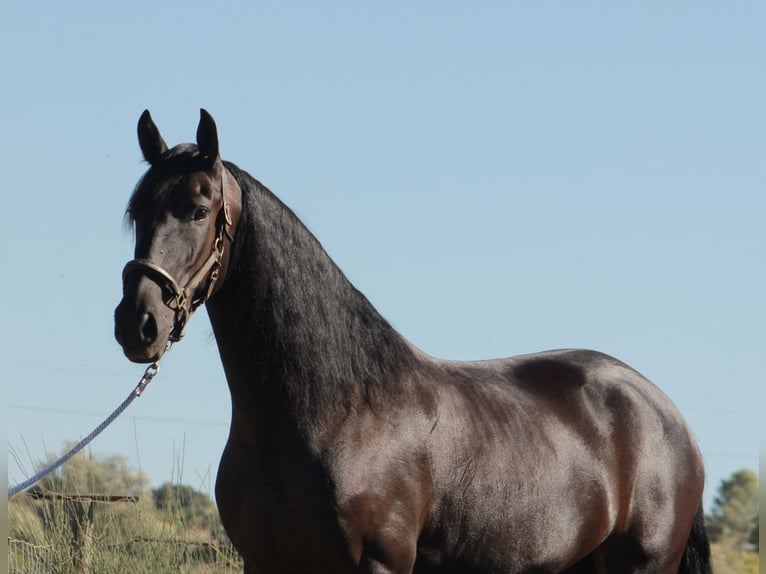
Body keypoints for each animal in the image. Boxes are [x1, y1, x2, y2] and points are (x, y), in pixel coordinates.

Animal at [114, 109, 712, 574]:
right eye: (136, 212)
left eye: (199, 210)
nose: (137, 324)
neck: (331, 410)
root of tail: (663, 411)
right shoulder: (264, 563)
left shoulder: (380, 562)